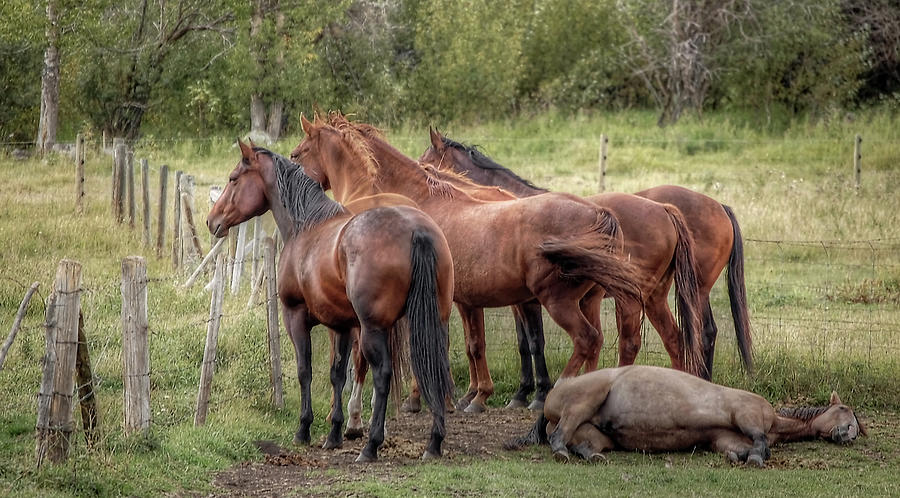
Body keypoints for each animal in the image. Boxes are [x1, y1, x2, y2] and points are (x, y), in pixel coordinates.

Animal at [207, 140, 454, 462]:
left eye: (234, 178)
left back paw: (371, 445)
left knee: (382, 375)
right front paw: (334, 433)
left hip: (374, 329)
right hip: (434, 321)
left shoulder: (296, 317)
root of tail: (417, 230)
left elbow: (305, 371)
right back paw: (434, 443)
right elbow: (337, 375)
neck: (306, 227)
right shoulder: (342, 325)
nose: (212, 220)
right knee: (437, 367)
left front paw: (304, 429)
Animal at [292, 113, 664, 412]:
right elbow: (463, 345)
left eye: (297, 153)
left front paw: (425, 399)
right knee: (598, 345)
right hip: (587, 300)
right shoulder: (459, 301)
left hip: (560, 301)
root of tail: (598, 212)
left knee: (589, 340)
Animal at [422, 130, 752, 384]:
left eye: (425, 161)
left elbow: (532, 342)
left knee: (693, 334)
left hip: (674, 293)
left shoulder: (528, 300)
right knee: (689, 335)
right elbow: (525, 342)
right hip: (662, 295)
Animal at [506, 364, 864, 464]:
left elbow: (742, 448)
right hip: (586, 399)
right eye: (843, 409)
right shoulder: (747, 416)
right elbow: (761, 445)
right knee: (558, 437)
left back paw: (591, 457)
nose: (848, 434)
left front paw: (741, 458)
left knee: (582, 444)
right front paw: (754, 459)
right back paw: (562, 453)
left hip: (595, 434)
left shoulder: (725, 438)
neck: (776, 421)